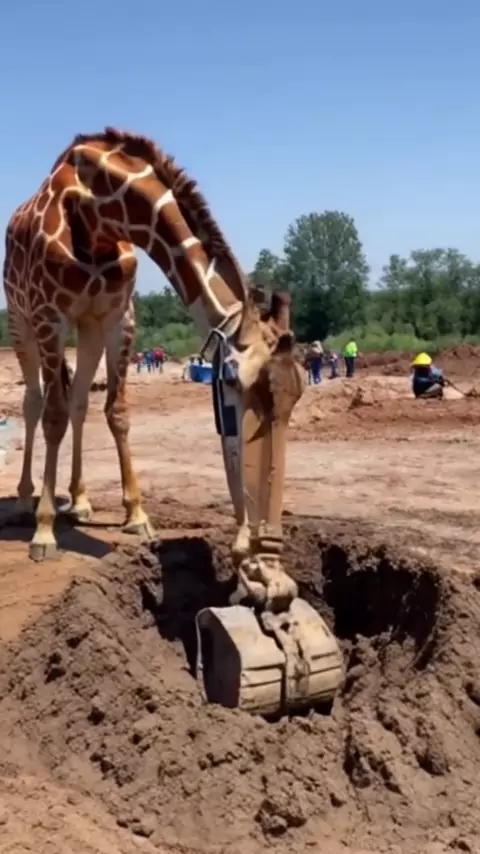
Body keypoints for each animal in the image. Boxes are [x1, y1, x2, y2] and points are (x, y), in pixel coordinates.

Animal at [3, 127, 305, 612]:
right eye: (233, 384)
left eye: (298, 393)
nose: (273, 585)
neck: (103, 211)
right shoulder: (50, 313)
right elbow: (51, 415)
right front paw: (44, 531)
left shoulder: (116, 315)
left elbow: (116, 411)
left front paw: (137, 514)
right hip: (20, 319)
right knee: (35, 403)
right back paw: (23, 503)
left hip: (86, 328)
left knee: (79, 401)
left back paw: (81, 502)